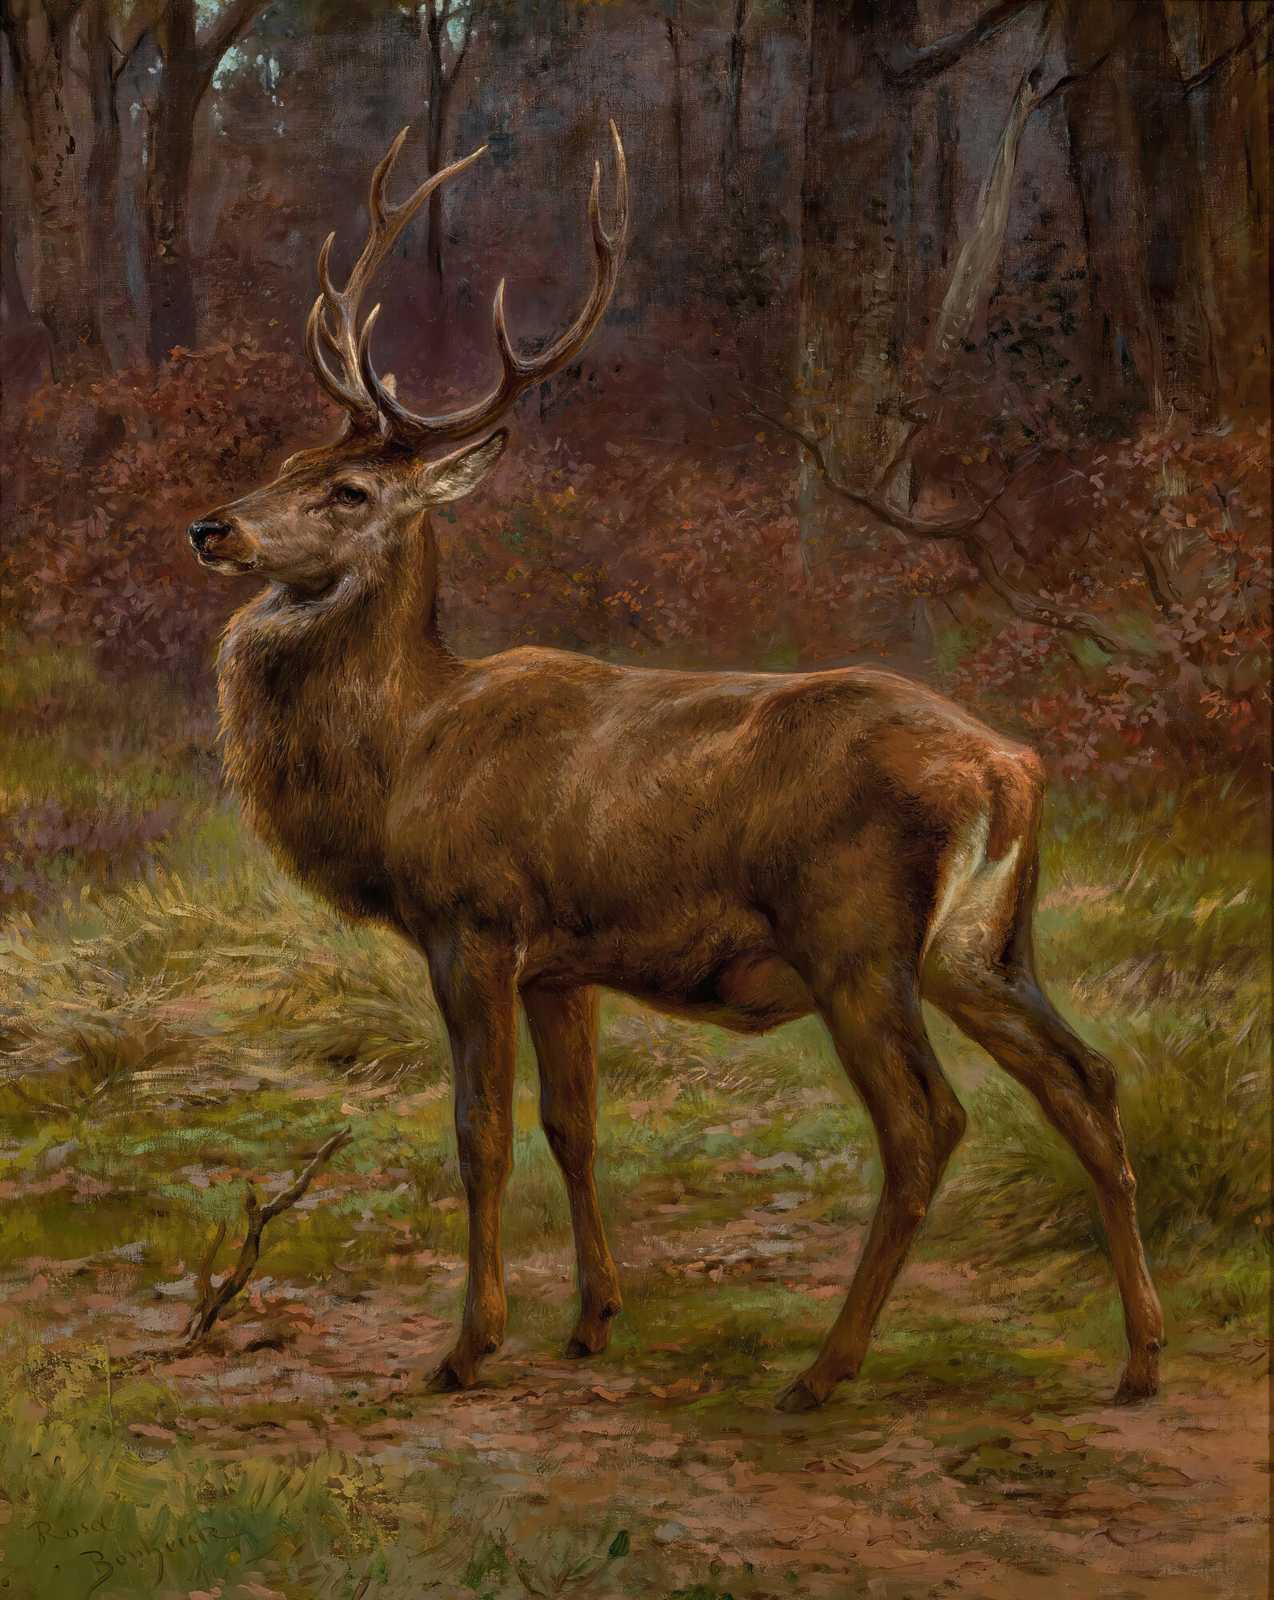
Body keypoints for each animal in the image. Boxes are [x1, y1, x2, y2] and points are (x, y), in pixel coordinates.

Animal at [189, 123, 1163, 1411]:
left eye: (347, 489)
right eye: (286, 457)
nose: (214, 527)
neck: (406, 755)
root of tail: (1008, 767)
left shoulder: (472, 921)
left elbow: (479, 1133)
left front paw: (466, 1346)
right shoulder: (559, 962)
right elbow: (574, 1127)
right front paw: (592, 1318)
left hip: (853, 932)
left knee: (926, 1124)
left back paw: (822, 1370)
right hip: (983, 943)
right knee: (1087, 1081)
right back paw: (1139, 1358)